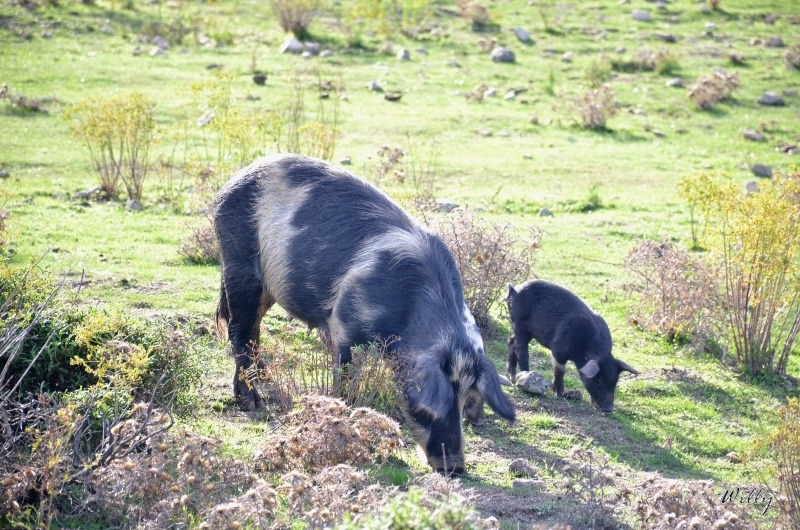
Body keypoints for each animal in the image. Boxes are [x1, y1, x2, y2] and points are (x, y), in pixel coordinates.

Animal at [212, 154, 512, 474]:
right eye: (424, 406)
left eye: (467, 399)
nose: (454, 466)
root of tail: (233, 180)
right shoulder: (343, 321)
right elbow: (346, 372)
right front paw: (346, 411)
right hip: (238, 261)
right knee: (240, 329)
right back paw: (253, 402)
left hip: (266, 286)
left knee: (254, 326)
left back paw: (265, 375)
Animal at [506, 278, 636, 410]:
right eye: (598, 381)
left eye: (614, 382)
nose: (609, 409)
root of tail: (514, 288)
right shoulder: (558, 349)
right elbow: (560, 371)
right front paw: (560, 394)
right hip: (519, 323)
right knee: (521, 350)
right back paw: (524, 375)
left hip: (528, 331)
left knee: (511, 341)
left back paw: (512, 377)